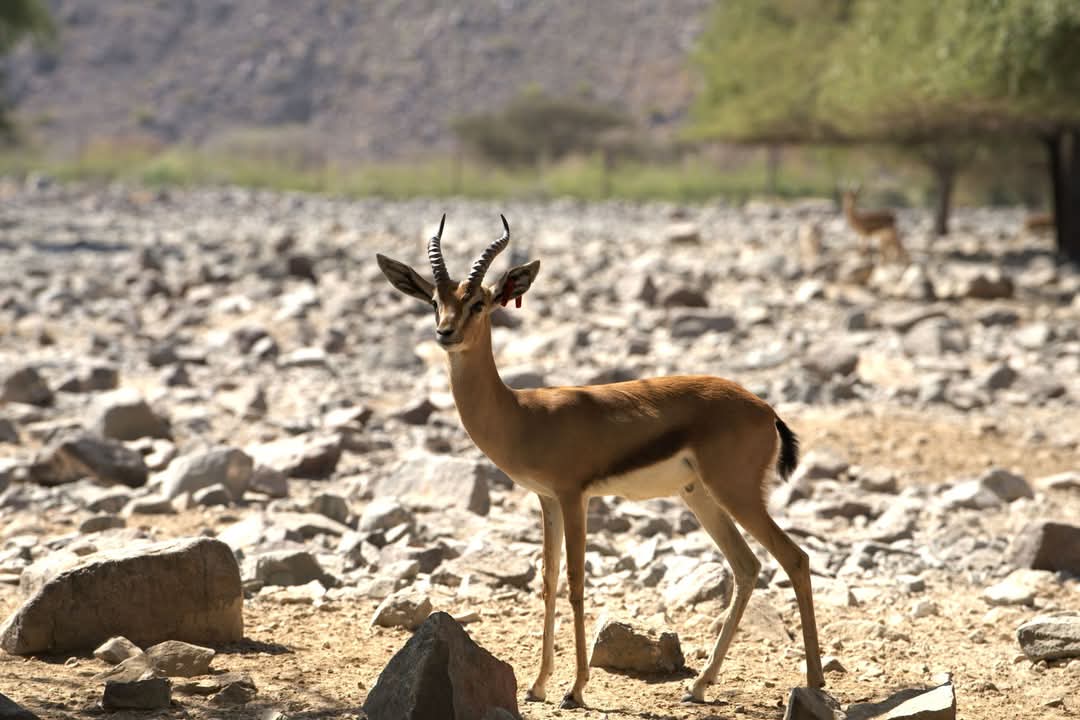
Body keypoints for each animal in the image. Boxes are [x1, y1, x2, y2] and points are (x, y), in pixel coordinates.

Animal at [375, 216, 824, 708]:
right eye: (435, 300)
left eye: (479, 302)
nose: (445, 333)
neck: (522, 414)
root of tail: (765, 409)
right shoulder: (547, 499)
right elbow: (548, 580)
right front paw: (537, 685)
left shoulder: (575, 496)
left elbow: (575, 583)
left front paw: (574, 690)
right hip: (700, 496)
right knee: (747, 567)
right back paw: (699, 685)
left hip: (736, 493)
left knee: (795, 558)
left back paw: (814, 682)